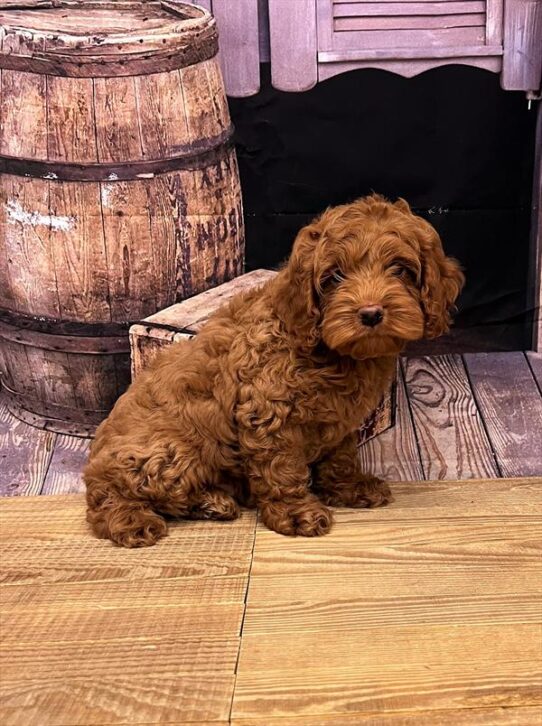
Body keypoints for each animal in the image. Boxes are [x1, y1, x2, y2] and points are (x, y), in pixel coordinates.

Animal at [84, 196, 464, 548]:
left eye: (400, 269)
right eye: (335, 276)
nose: (370, 313)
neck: (334, 354)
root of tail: (93, 463)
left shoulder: (340, 419)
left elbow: (340, 456)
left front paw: (351, 487)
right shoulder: (268, 413)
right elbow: (282, 468)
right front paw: (297, 513)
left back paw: (211, 501)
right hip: (167, 452)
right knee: (108, 499)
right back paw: (133, 520)